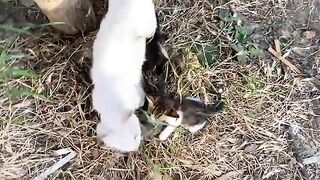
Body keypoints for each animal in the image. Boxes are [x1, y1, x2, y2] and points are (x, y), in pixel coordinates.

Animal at [90, 0, 157, 152]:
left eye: (136, 136)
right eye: (124, 150)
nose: (137, 147)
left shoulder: (137, 95)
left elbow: (140, 97)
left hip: (147, 25)